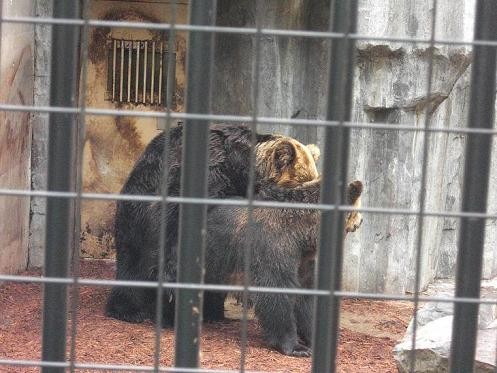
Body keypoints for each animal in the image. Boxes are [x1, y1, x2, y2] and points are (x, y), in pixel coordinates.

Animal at [106, 123, 320, 326]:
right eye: (303, 182)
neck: (241, 170)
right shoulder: (209, 172)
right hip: (138, 214)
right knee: (136, 262)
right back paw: (131, 310)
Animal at [199, 179, 364, 356]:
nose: (361, 221)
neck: (301, 235)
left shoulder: (303, 261)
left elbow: (306, 297)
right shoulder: (273, 249)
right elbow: (277, 292)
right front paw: (295, 347)